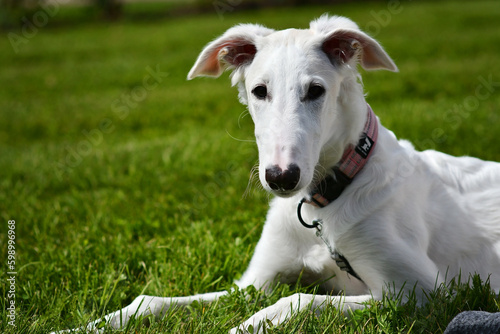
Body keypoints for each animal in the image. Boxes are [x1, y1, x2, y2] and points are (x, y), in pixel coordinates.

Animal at [54, 13, 500, 334]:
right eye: (259, 91)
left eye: (316, 90)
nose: (282, 177)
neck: (324, 206)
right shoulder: (253, 282)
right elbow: (151, 300)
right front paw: (78, 328)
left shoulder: (424, 293)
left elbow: (296, 299)